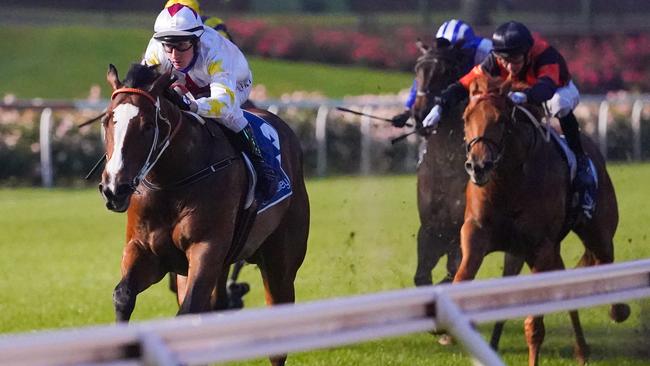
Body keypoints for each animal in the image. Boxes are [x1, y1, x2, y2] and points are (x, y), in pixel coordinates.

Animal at [97, 64, 308, 364]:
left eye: (148, 126)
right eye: (106, 121)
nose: (114, 188)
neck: (174, 180)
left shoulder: (206, 249)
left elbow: (189, 309)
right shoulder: (145, 250)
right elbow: (123, 295)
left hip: (280, 262)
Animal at [456, 75, 628, 366]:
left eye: (500, 119)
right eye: (466, 117)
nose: (478, 166)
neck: (508, 180)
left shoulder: (540, 245)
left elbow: (534, 326)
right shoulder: (477, 233)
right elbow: (462, 276)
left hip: (597, 234)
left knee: (604, 260)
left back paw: (618, 311)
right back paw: (581, 350)